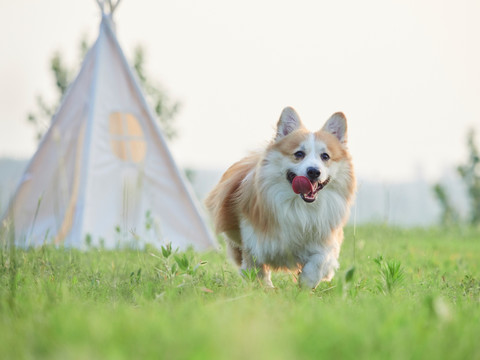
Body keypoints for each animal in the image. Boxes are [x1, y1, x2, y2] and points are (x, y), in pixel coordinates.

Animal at [204, 107, 354, 290]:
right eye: (299, 154)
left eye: (325, 156)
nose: (313, 171)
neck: (299, 206)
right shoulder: (254, 241)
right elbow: (256, 269)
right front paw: (265, 288)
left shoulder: (325, 238)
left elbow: (320, 260)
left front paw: (306, 282)